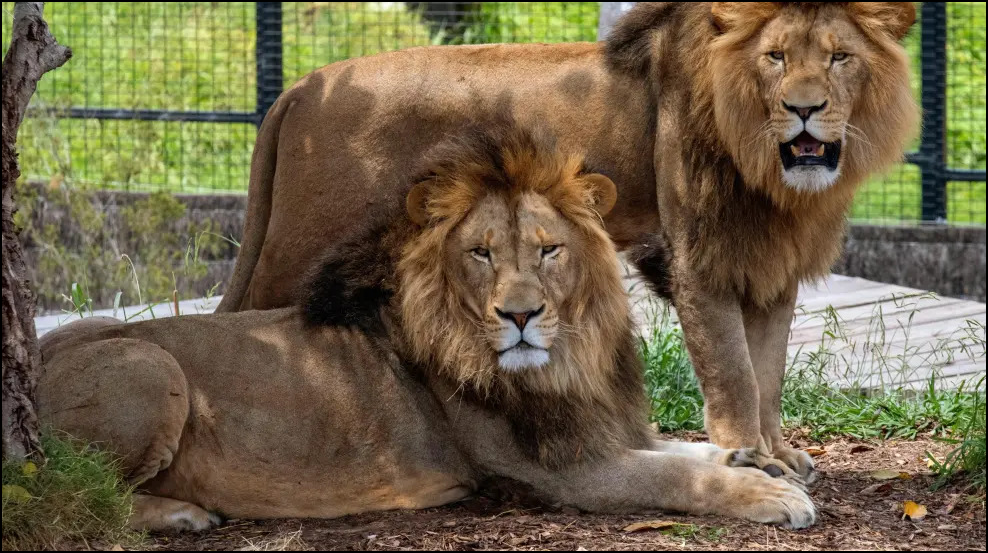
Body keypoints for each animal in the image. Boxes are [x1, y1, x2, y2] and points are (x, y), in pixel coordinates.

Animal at [37, 124, 815, 532]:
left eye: (548, 250)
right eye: (481, 254)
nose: (520, 315)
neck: (567, 360)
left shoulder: (599, 426)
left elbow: (682, 448)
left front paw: (756, 459)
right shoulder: (561, 472)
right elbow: (676, 476)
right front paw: (769, 494)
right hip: (148, 365)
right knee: (74, 492)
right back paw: (180, 514)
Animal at [215, 2, 919, 479]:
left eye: (839, 56)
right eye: (774, 57)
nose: (804, 109)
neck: (768, 170)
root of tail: (299, 89)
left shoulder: (770, 266)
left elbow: (767, 371)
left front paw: (778, 452)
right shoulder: (697, 257)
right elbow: (734, 372)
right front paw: (750, 459)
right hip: (297, 251)